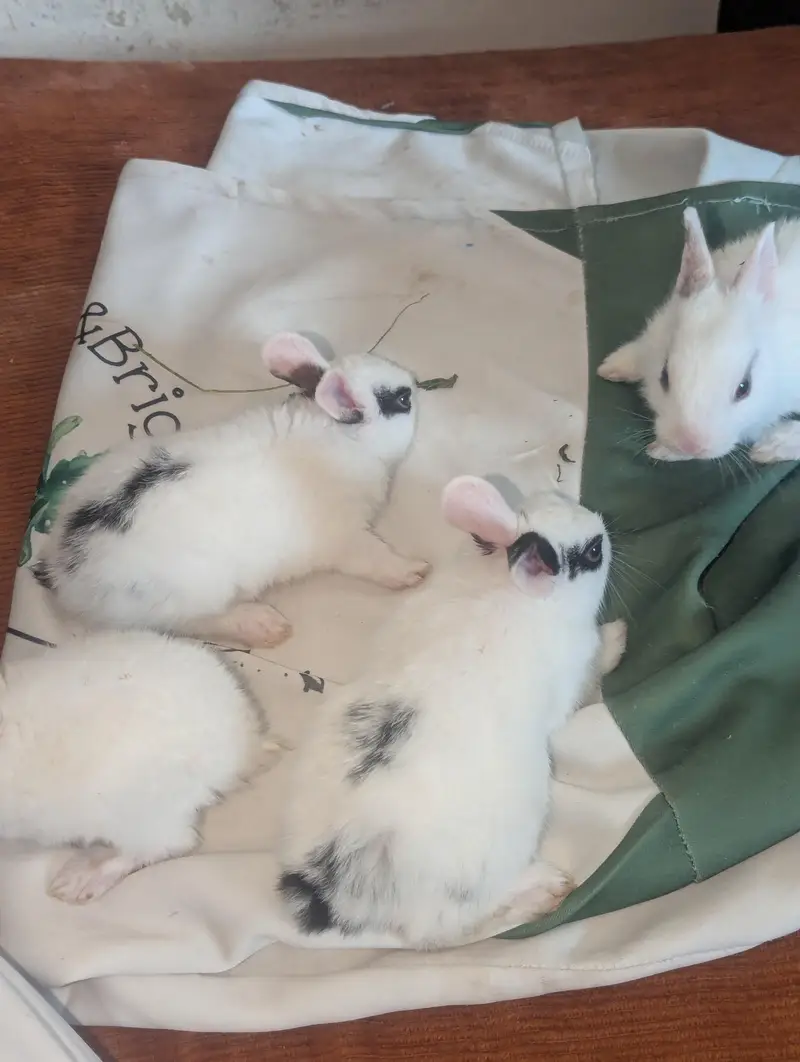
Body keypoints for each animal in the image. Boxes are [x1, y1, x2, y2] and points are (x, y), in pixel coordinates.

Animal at [33, 332, 429, 649]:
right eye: (402, 401)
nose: (414, 382)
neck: (343, 438)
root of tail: (63, 571)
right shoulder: (347, 538)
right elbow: (376, 559)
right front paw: (415, 571)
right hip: (192, 595)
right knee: (201, 621)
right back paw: (266, 625)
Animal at [277, 475, 623, 949]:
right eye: (592, 552)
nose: (603, 525)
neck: (505, 588)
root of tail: (339, 884)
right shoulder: (572, 680)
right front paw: (620, 639)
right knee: (448, 926)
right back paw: (546, 888)